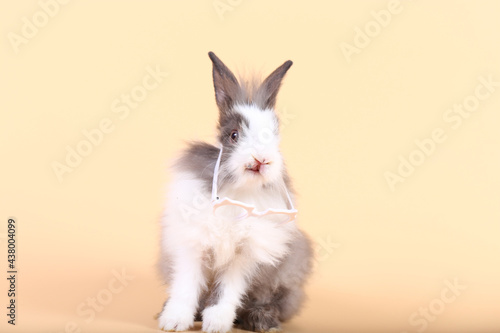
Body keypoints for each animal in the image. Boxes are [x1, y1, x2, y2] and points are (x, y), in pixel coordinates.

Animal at [158, 52, 312, 332]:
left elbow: (226, 291)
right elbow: (186, 286)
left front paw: (216, 323)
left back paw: (262, 320)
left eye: (275, 136)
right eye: (233, 135)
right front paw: (173, 321)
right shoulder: (192, 245)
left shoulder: (245, 255)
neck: (239, 192)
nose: (262, 159)